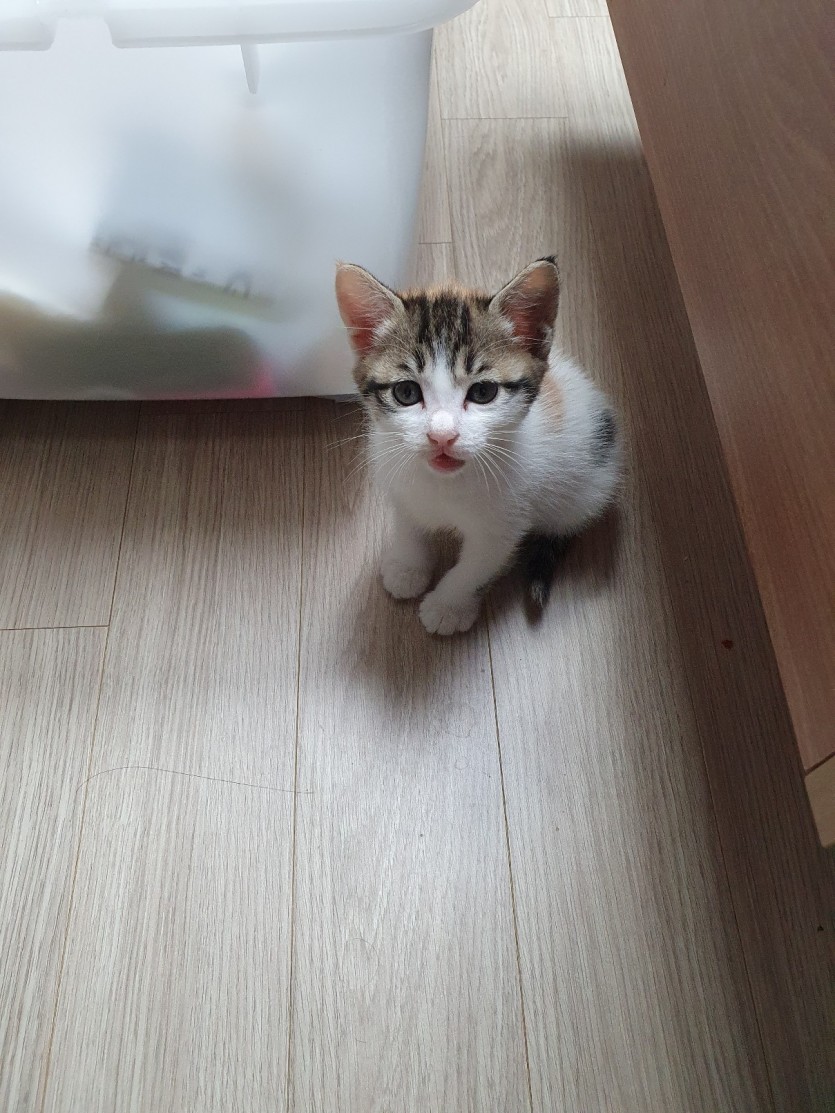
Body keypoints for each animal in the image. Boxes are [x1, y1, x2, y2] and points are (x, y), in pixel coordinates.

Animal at [335, 257, 621, 635]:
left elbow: (475, 567)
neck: (444, 485)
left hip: (584, 493)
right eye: (406, 392)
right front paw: (407, 566)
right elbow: (408, 523)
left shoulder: (504, 525)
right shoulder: (398, 483)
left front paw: (448, 606)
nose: (442, 435)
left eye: (483, 392)